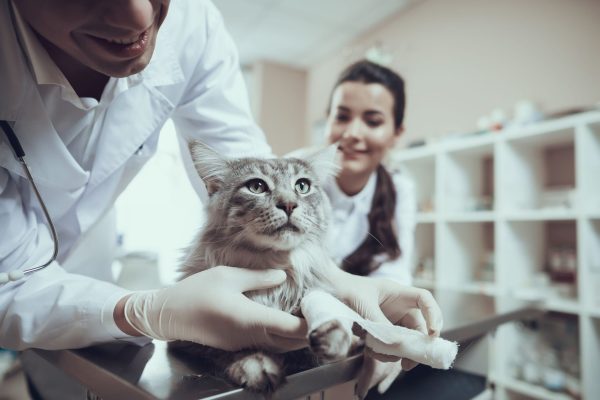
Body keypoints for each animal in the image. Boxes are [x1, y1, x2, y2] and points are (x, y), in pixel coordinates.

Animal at [168, 141, 356, 394]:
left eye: (302, 186)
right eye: (256, 186)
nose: (289, 204)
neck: (273, 266)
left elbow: (320, 306)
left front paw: (334, 332)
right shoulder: (186, 338)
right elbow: (232, 345)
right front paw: (256, 365)